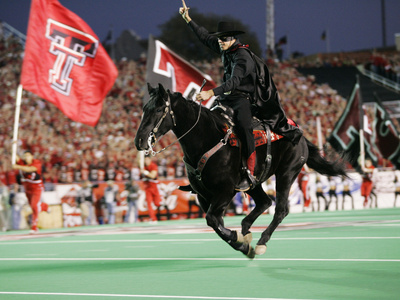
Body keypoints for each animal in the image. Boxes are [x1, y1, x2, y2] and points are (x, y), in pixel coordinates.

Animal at [134, 83, 346, 258]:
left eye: (159, 109)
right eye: (144, 109)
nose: (140, 140)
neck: (207, 138)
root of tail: (298, 133)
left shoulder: (225, 191)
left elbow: (212, 220)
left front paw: (241, 243)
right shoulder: (204, 195)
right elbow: (216, 222)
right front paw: (242, 241)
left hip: (286, 173)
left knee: (280, 209)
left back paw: (260, 242)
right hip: (254, 182)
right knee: (264, 202)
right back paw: (246, 229)